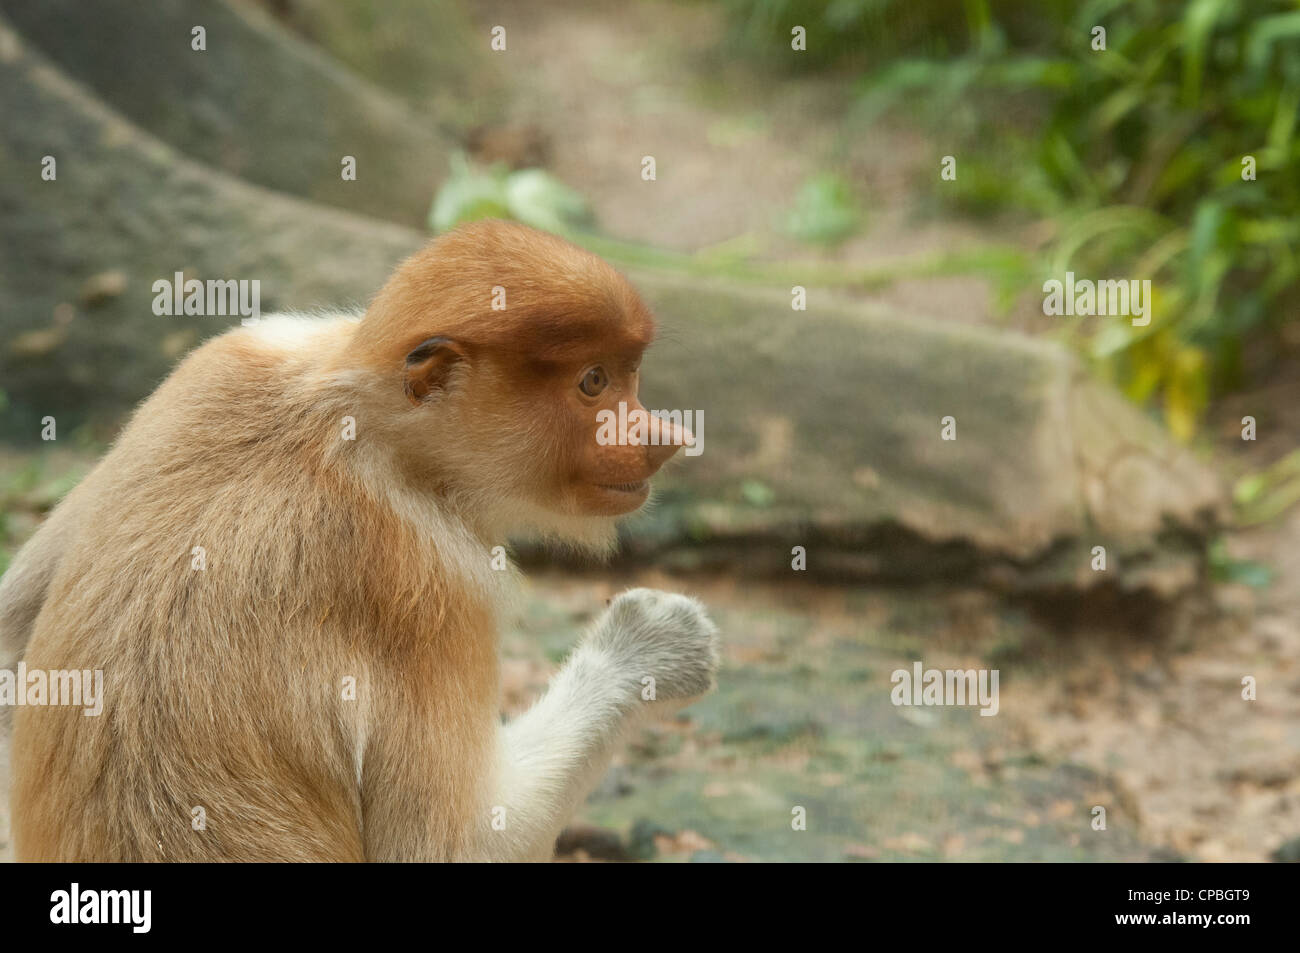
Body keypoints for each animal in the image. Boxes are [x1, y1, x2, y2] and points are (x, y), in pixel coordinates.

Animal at [0, 219, 722, 858]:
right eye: (594, 382)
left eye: (629, 373)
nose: (665, 437)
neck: (359, 427)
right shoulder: (434, 582)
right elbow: (457, 846)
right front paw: (652, 641)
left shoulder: (227, 356)